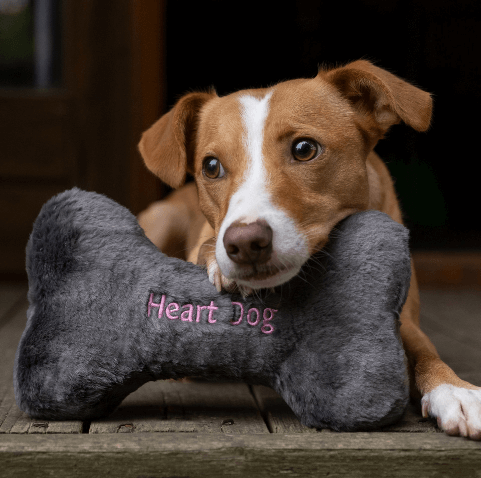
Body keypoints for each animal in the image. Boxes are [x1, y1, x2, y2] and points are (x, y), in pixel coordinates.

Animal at [137, 60, 481, 439]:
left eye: (304, 149)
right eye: (211, 166)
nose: (245, 243)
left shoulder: (405, 318)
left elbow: (425, 349)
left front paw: (455, 389)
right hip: (161, 218)